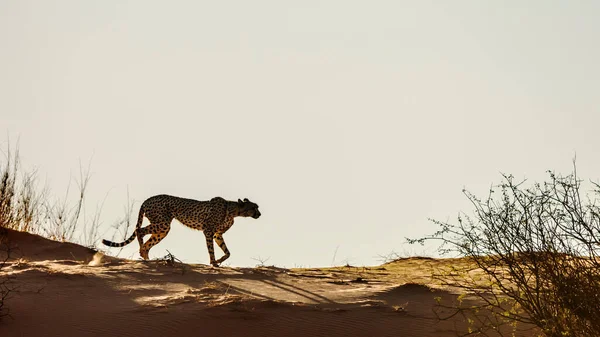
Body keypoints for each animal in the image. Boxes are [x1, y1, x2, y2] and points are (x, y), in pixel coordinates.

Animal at [102, 194, 260, 266]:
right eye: (254, 207)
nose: (259, 214)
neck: (233, 210)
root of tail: (148, 199)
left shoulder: (217, 234)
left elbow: (227, 252)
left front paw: (220, 260)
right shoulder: (208, 231)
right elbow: (211, 249)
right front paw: (214, 262)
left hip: (162, 228)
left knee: (147, 241)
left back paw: (146, 257)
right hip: (163, 223)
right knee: (139, 230)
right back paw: (143, 254)